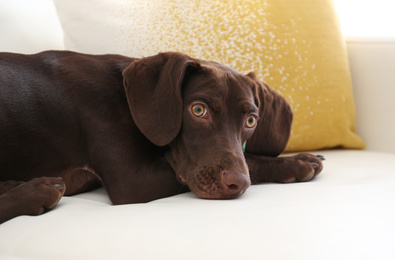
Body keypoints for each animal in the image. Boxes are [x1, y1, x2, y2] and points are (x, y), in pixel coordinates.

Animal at [0, 51, 324, 223]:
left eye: (251, 120)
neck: (127, 97)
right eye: (198, 110)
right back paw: (37, 191)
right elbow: (252, 160)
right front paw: (296, 162)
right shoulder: (133, 180)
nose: (239, 184)